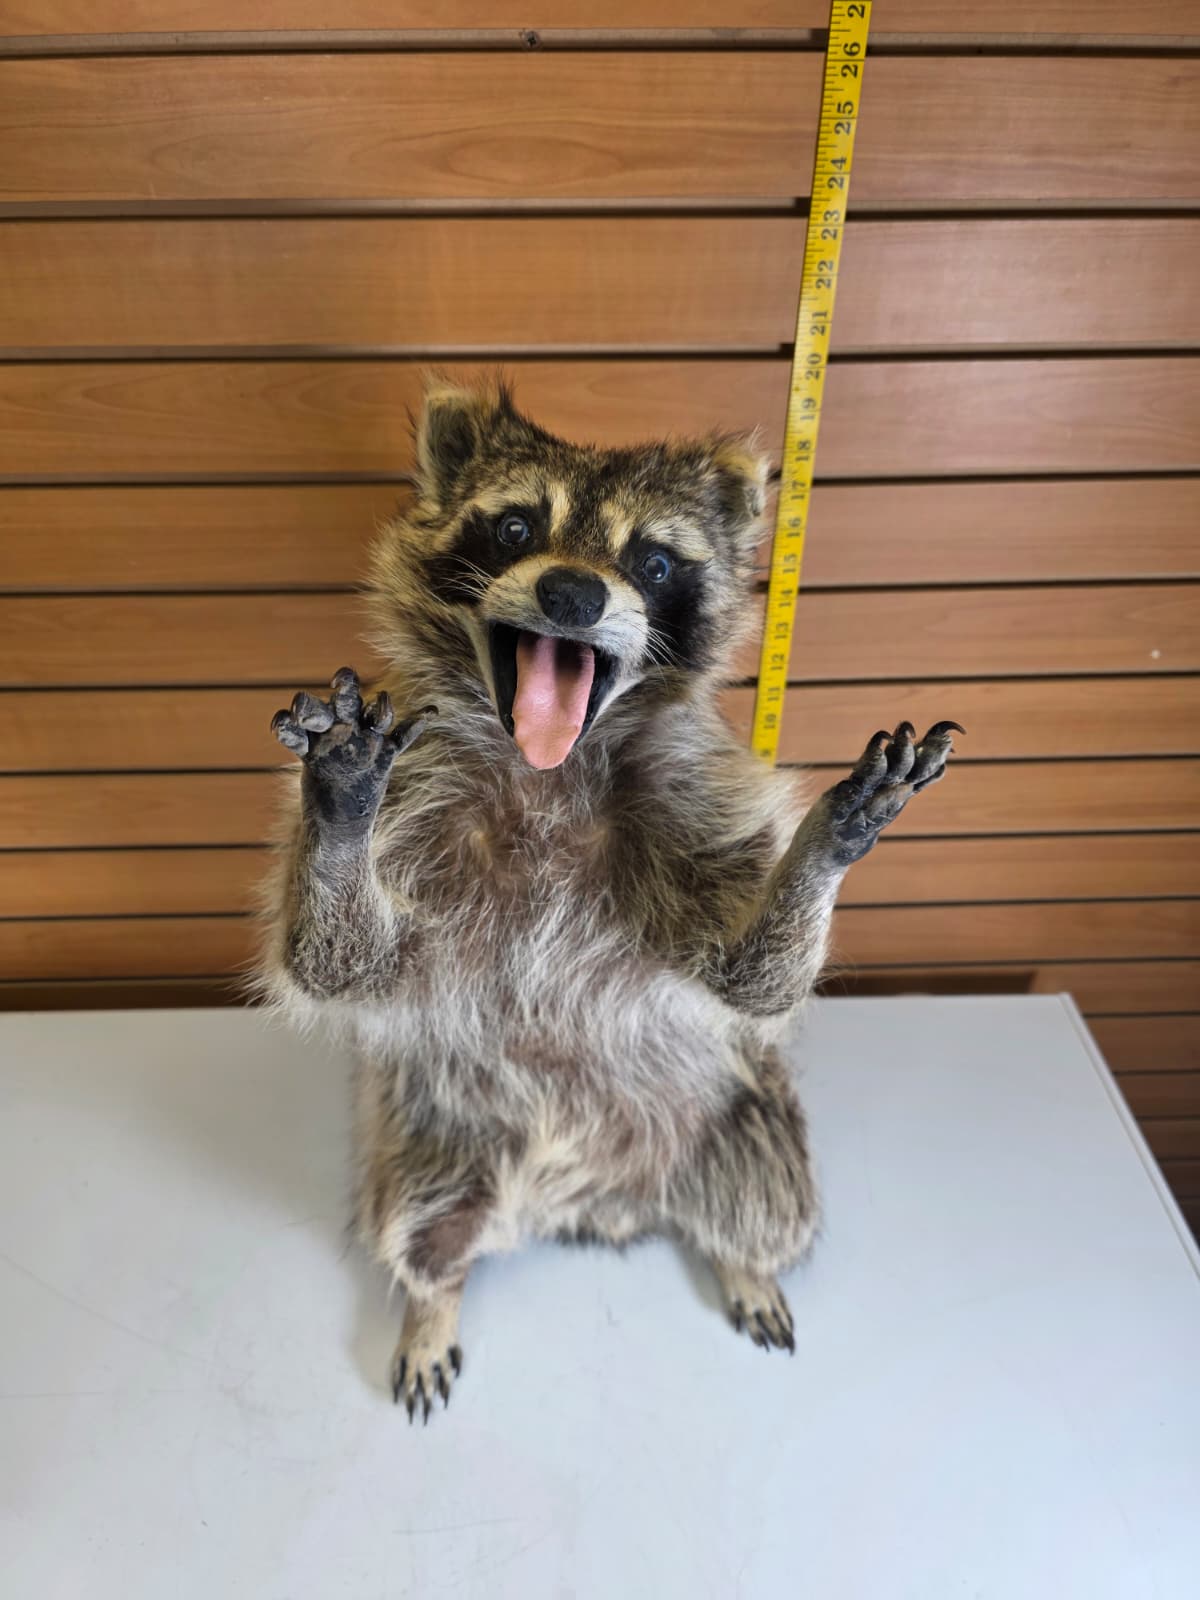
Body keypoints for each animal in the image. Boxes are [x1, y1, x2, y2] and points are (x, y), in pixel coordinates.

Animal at [260, 380, 961, 1422]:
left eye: (652, 560)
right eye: (516, 526)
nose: (573, 594)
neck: (549, 769)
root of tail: (599, 1206)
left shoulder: (698, 808)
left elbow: (751, 981)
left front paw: (819, 852)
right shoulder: (421, 803)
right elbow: (340, 963)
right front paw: (338, 814)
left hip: (748, 1119)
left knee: (770, 1194)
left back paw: (746, 1262)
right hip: (434, 1133)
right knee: (415, 1220)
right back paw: (432, 1298)